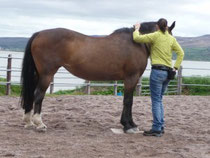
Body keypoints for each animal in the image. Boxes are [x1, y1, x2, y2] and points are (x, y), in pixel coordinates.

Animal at [20, 20, 176, 133]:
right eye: (170, 37)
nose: (172, 71)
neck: (137, 42)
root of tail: (39, 33)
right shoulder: (131, 78)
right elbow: (128, 101)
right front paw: (128, 125)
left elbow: (129, 101)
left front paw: (129, 124)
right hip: (47, 74)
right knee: (38, 95)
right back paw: (39, 124)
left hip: (38, 74)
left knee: (31, 94)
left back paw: (28, 122)